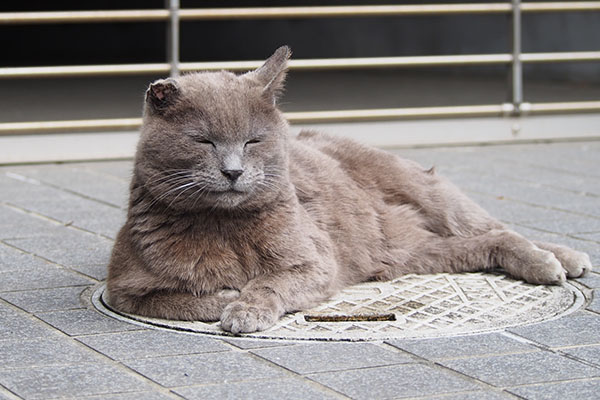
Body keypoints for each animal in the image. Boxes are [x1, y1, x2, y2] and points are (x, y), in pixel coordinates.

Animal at [106, 46, 592, 334]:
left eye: (253, 141)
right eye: (203, 141)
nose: (233, 171)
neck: (224, 226)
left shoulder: (318, 262)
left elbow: (269, 282)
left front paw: (245, 308)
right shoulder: (123, 288)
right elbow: (176, 302)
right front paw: (226, 298)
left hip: (426, 190)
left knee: (499, 227)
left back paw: (558, 260)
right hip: (408, 253)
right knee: (485, 240)